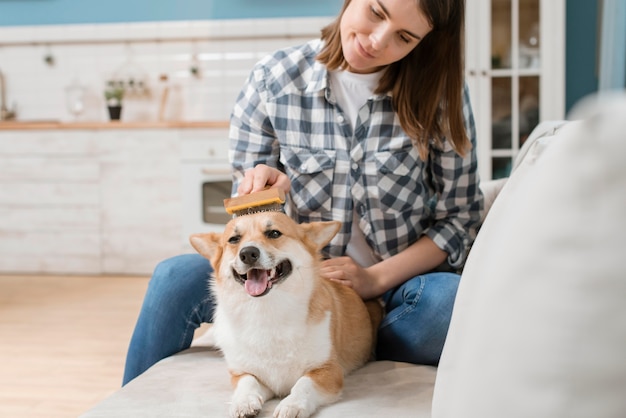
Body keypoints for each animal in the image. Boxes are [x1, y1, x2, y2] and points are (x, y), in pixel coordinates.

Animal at [190, 212, 382, 418]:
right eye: (234, 239)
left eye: (274, 233)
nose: (248, 253)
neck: (267, 311)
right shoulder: (244, 374)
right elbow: (247, 383)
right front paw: (243, 402)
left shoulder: (328, 371)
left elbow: (303, 384)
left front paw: (292, 405)